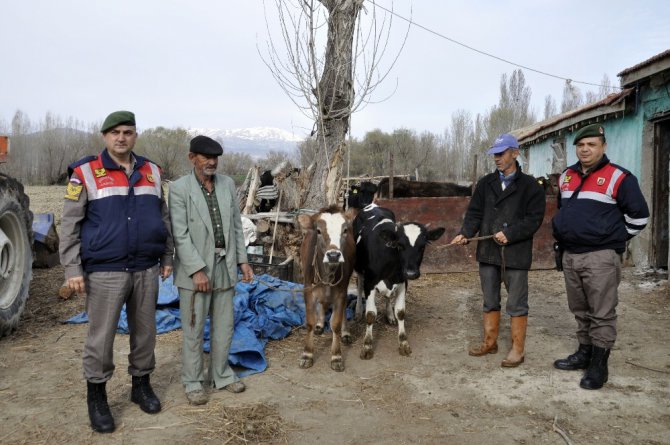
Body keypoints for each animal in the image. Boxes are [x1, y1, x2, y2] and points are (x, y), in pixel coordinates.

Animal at [298, 205, 356, 372]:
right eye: (318, 231)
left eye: (345, 230)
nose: (334, 255)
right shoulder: (308, 291)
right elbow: (309, 322)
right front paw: (307, 354)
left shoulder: (341, 292)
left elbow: (335, 323)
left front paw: (336, 356)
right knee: (323, 303)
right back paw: (320, 324)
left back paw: (345, 332)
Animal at [354, 203, 448, 360]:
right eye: (400, 245)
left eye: (422, 246)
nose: (411, 273)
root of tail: (373, 205)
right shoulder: (370, 283)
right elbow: (371, 314)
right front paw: (367, 345)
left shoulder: (403, 282)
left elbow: (401, 312)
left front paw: (403, 342)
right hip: (359, 270)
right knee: (359, 285)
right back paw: (357, 311)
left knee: (387, 297)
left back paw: (389, 315)